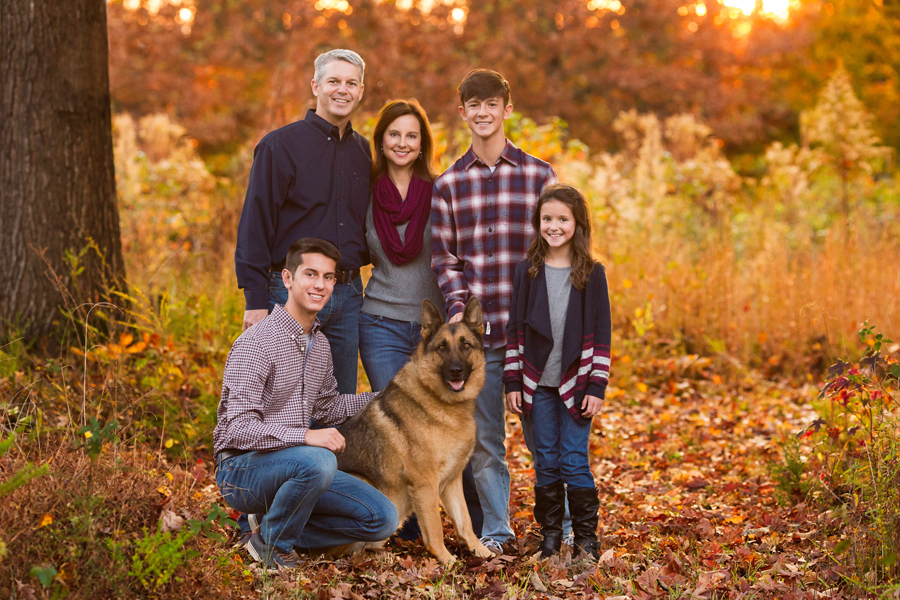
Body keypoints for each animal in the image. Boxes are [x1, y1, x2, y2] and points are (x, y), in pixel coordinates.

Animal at [336, 296, 492, 564]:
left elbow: (465, 520)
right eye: (442, 347)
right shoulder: (425, 483)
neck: (442, 404)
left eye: (466, 346)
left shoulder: (452, 481)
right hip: (365, 485)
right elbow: (435, 528)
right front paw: (447, 561)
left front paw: (479, 550)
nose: (456, 371)